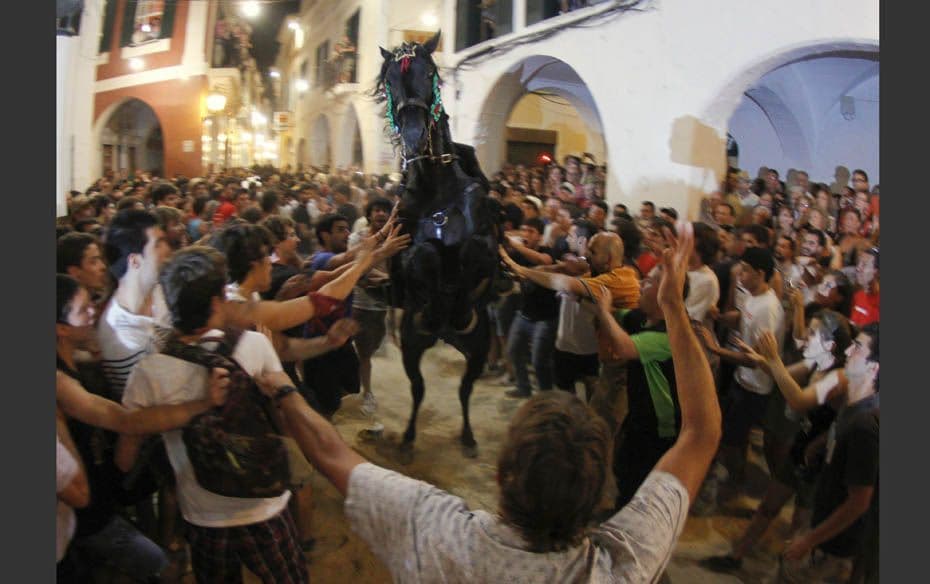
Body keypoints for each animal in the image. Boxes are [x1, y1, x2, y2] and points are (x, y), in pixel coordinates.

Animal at [376, 30, 504, 456]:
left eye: (430, 73)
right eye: (389, 81)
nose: (415, 138)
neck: (437, 190)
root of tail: (445, 338)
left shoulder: (485, 247)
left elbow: (472, 252)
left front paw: (459, 302)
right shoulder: (404, 252)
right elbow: (425, 254)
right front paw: (435, 297)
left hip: (478, 348)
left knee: (465, 392)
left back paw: (468, 437)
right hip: (413, 346)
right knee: (418, 389)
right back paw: (408, 437)